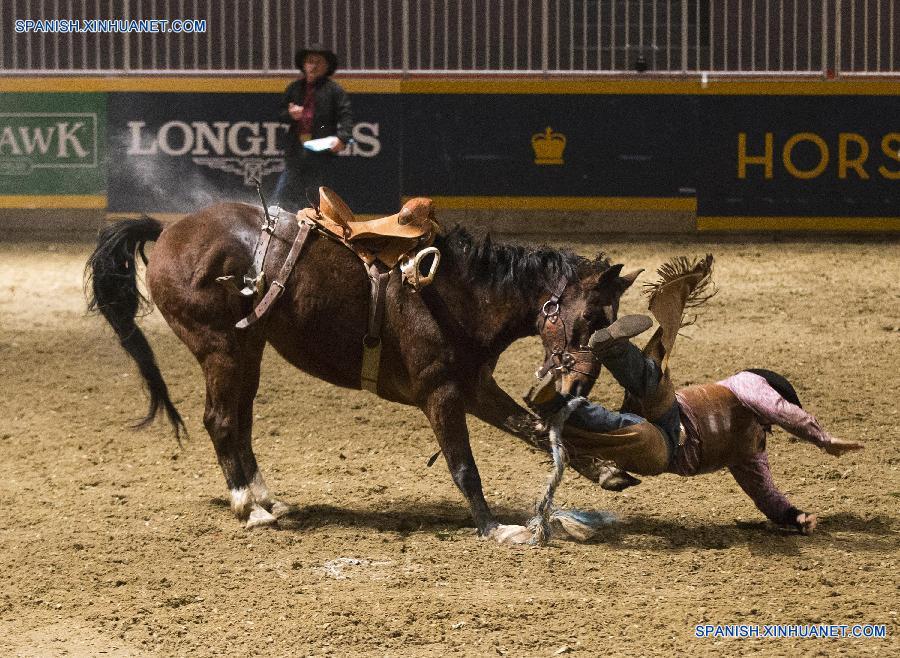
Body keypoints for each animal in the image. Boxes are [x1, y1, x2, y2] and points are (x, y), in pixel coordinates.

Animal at [86, 201, 639, 543]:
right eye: (593, 318)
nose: (581, 385)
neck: (460, 294)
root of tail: (170, 231)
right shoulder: (441, 391)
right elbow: (464, 464)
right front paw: (495, 529)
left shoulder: (476, 387)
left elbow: (537, 428)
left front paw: (608, 472)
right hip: (219, 347)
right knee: (220, 420)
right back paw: (250, 508)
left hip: (248, 349)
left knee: (240, 420)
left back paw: (267, 498)